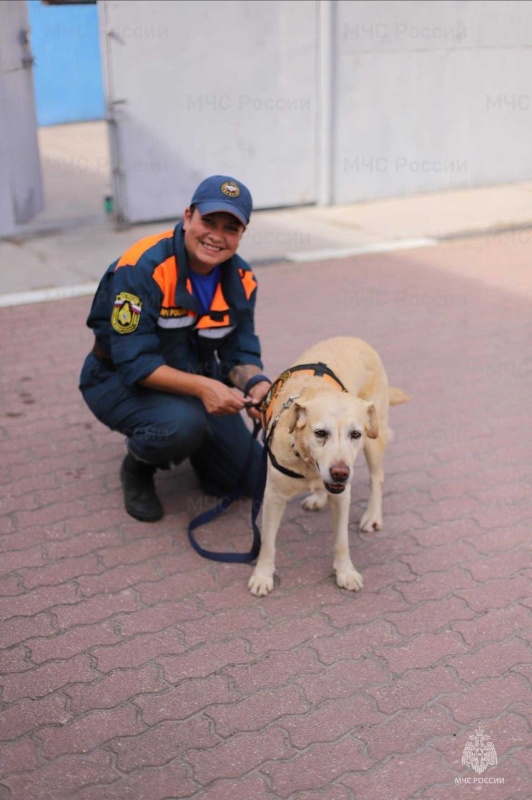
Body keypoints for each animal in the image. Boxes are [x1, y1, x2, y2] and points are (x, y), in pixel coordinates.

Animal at [250, 336, 412, 592]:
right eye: (320, 433)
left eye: (355, 434)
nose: (340, 473)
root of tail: (356, 338)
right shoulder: (273, 497)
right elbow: (267, 542)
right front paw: (262, 575)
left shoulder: (342, 495)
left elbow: (342, 540)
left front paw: (345, 572)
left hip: (374, 441)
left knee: (378, 477)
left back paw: (372, 516)